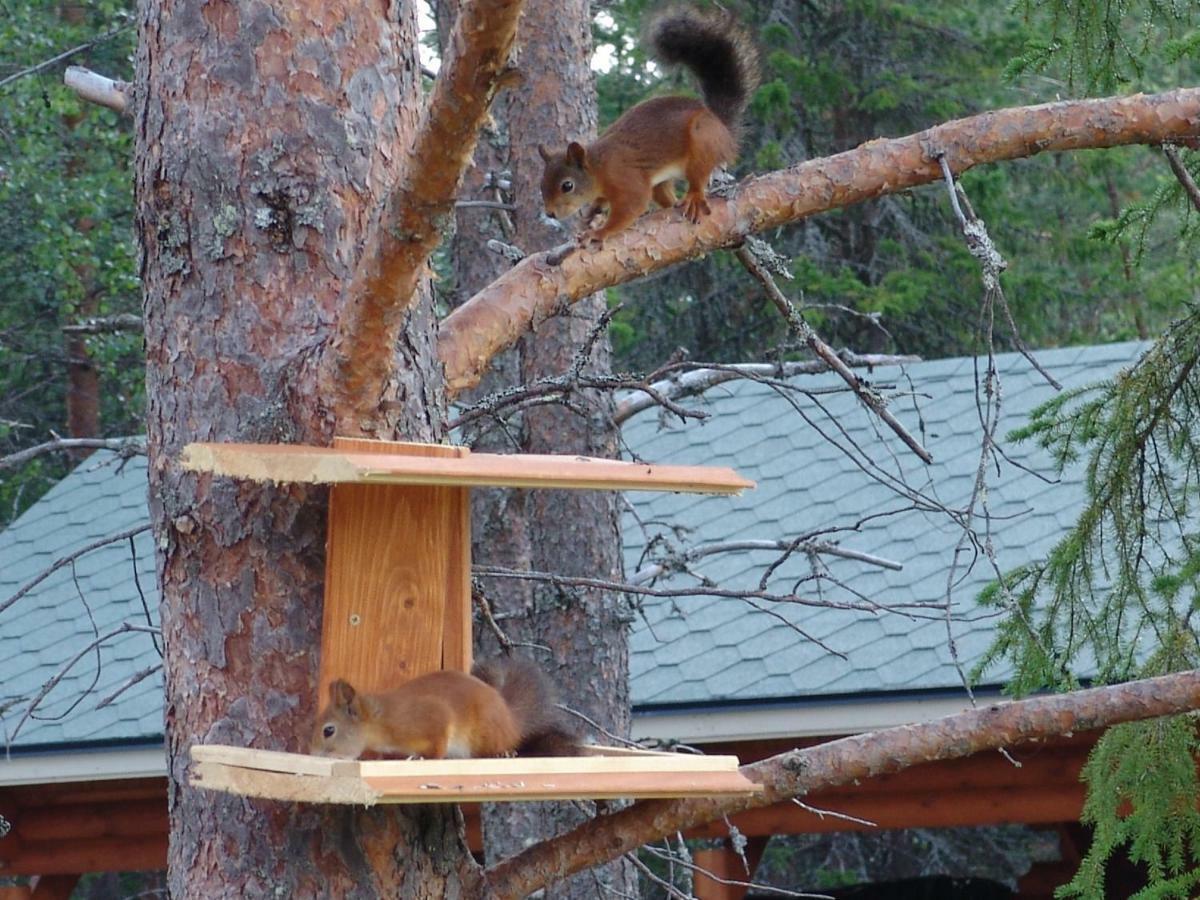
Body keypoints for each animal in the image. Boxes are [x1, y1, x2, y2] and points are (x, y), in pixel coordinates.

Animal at [312, 657, 578, 763]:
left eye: (328, 730)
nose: (313, 753)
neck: (382, 719)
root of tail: (510, 718)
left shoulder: (433, 717)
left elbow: (438, 743)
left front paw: (424, 758)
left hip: (486, 731)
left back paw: (503, 753)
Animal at [542, 7, 758, 248]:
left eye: (567, 186)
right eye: (542, 184)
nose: (550, 213)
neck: (599, 167)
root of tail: (722, 127)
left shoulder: (626, 178)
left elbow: (632, 205)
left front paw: (599, 232)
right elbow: (601, 201)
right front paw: (591, 214)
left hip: (703, 139)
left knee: (698, 176)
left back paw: (693, 197)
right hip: (661, 177)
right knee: (665, 195)